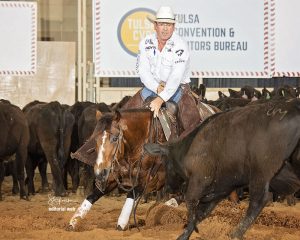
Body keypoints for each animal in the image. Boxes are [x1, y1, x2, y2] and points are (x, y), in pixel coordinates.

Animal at [145, 98, 300, 239]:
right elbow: (202, 212)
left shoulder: (199, 180)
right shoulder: (221, 186)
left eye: (165, 162)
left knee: (259, 200)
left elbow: (192, 204)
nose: (169, 187)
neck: (188, 148)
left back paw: (235, 234)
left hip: (260, 171)